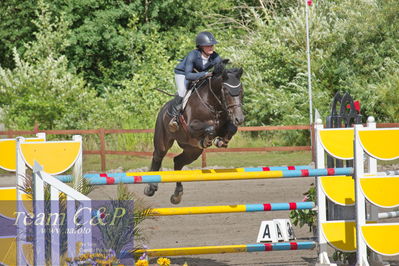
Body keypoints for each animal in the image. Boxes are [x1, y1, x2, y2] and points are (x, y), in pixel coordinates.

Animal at [144, 60, 244, 204]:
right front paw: (208, 140)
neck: (212, 103)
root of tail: (163, 110)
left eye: (241, 90)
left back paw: (177, 194)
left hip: (192, 151)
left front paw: (221, 141)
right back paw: (150, 188)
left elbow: (231, 129)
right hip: (163, 141)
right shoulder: (192, 126)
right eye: (226, 91)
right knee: (158, 156)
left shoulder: (225, 125)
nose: (239, 119)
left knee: (178, 162)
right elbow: (210, 128)